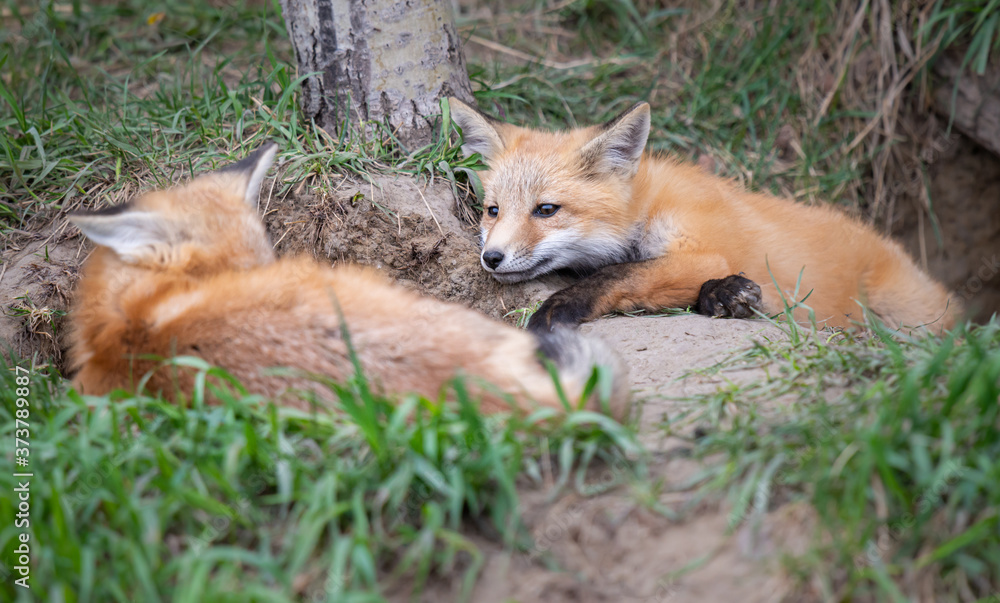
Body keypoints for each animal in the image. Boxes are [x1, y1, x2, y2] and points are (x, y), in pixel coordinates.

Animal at [448, 98, 961, 335]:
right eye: (493, 211)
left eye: (546, 210)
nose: (491, 258)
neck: (648, 207)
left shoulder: (702, 251)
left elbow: (618, 274)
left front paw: (557, 308)